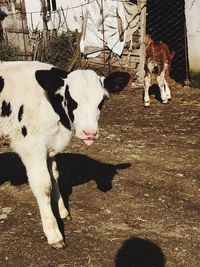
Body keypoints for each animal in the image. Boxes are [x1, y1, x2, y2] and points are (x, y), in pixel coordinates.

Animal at [0, 61, 130, 250]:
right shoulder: (31, 146)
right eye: (71, 100)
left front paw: (62, 212)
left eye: (102, 101)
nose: (89, 133)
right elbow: (44, 185)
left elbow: (54, 177)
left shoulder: (50, 147)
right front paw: (54, 234)